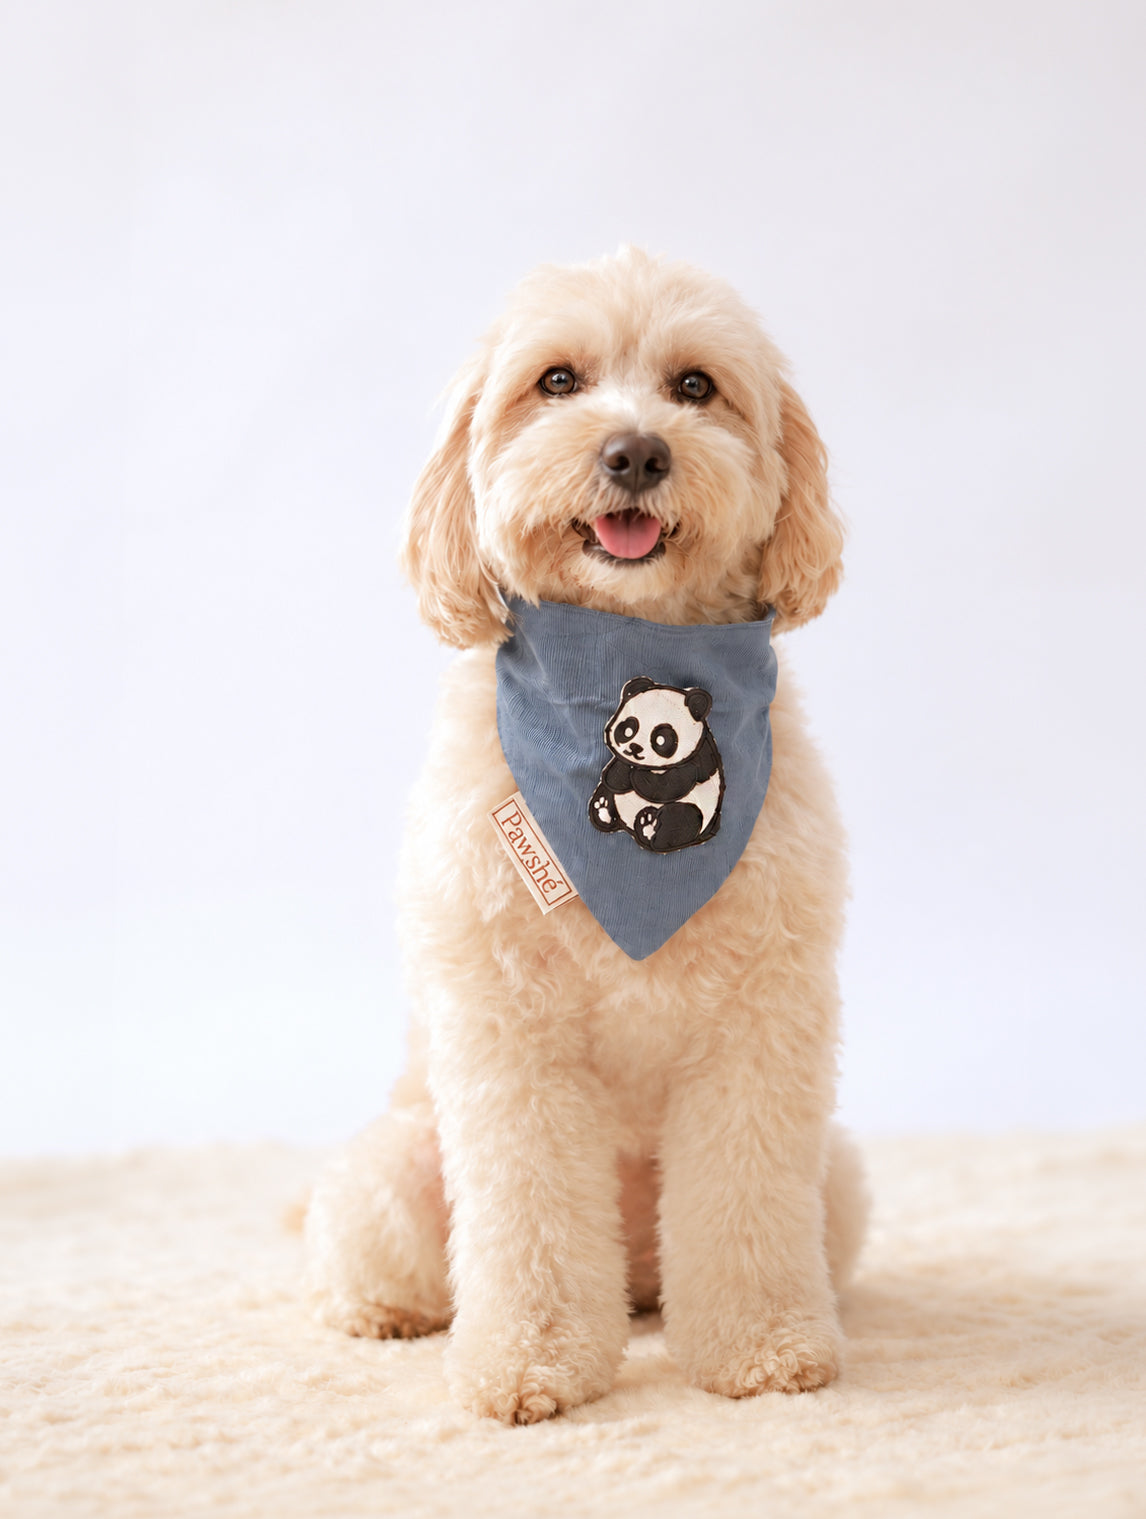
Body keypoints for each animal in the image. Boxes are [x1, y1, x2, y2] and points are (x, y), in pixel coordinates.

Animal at [588, 677, 725, 853]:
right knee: (606, 793)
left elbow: (668, 785)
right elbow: (614, 776)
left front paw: (636, 775)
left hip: (695, 811)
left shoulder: (697, 760)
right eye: (628, 730)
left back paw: (649, 826)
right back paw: (602, 809)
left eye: (661, 739)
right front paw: (623, 774)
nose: (634, 748)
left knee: (679, 819)